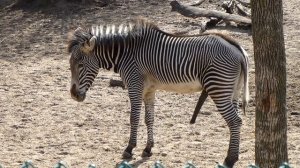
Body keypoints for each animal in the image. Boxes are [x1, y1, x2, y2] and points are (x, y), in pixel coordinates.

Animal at [67, 19, 248, 167]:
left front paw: (129, 148)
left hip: (218, 87)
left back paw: (230, 159)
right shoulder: (149, 89)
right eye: (70, 64)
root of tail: (237, 48)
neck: (126, 54)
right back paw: (234, 156)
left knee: (235, 121)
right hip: (232, 90)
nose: (74, 95)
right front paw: (148, 148)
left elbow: (134, 118)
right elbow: (149, 119)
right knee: (237, 121)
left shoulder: (134, 85)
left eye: (80, 65)